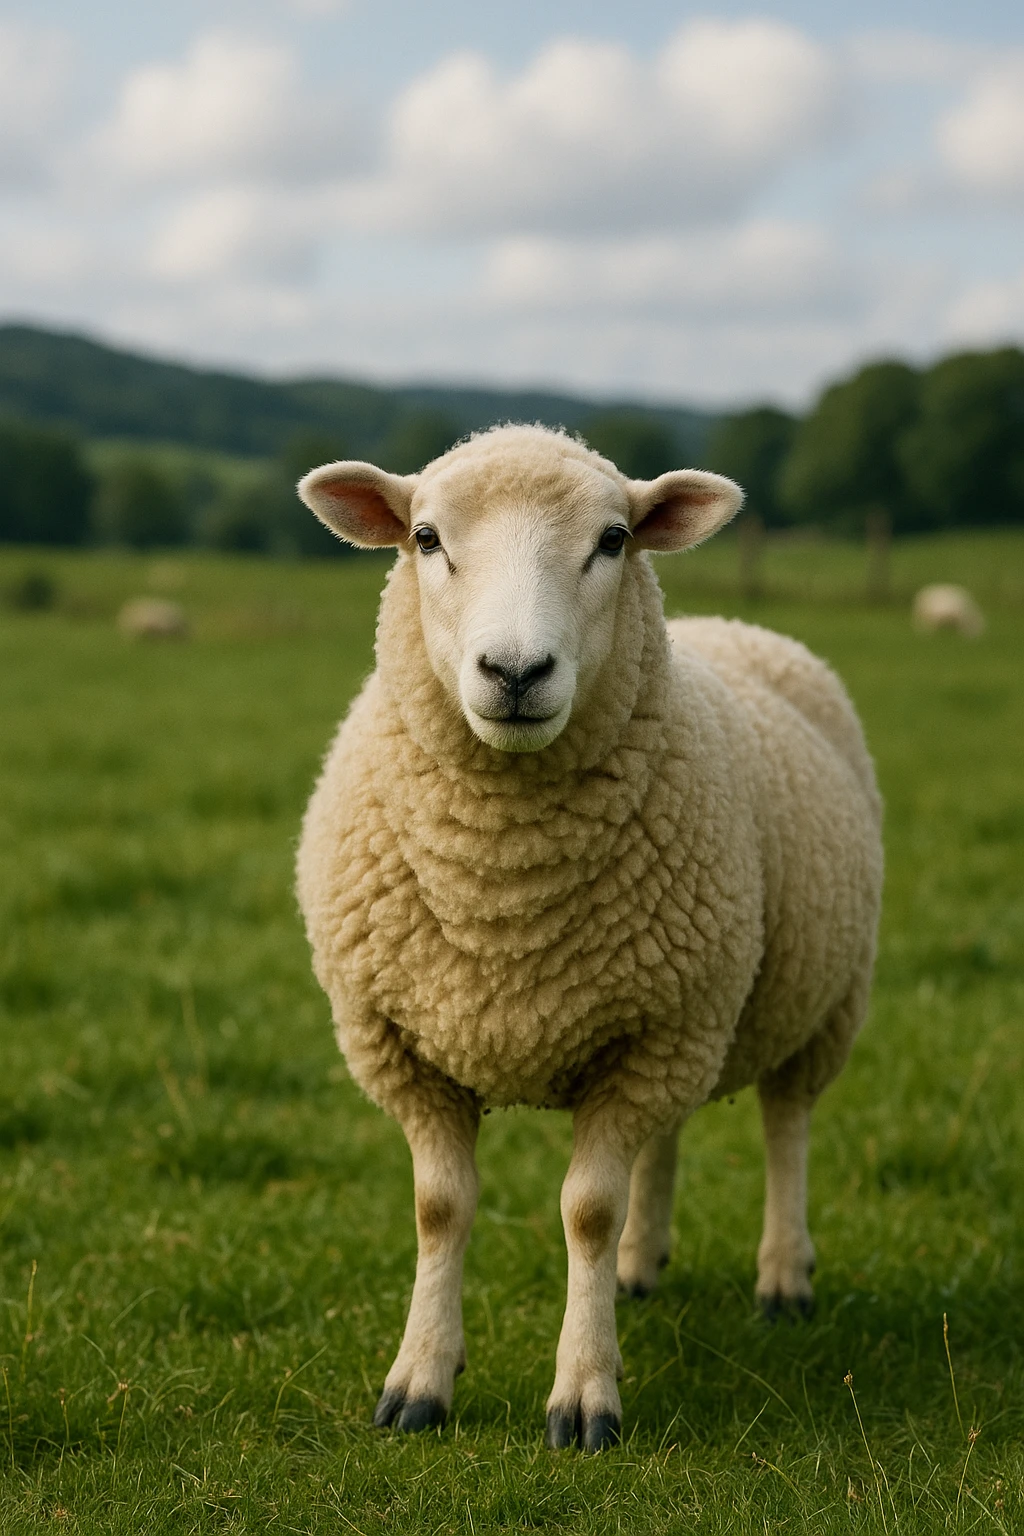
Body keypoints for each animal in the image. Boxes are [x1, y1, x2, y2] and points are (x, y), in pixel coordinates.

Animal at [295, 425, 883, 1452]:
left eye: (613, 540)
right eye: (424, 537)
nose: (515, 673)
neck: (502, 886)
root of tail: (733, 623)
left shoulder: (655, 1035)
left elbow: (587, 1210)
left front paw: (584, 1395)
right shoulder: (408, 1048)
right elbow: (440, 1208)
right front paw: (419, 1382)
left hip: (811, 1004)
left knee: (786, 1127)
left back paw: (783, 1277)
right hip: (683, 1018)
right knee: (669, 1136)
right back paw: (642, 1269)